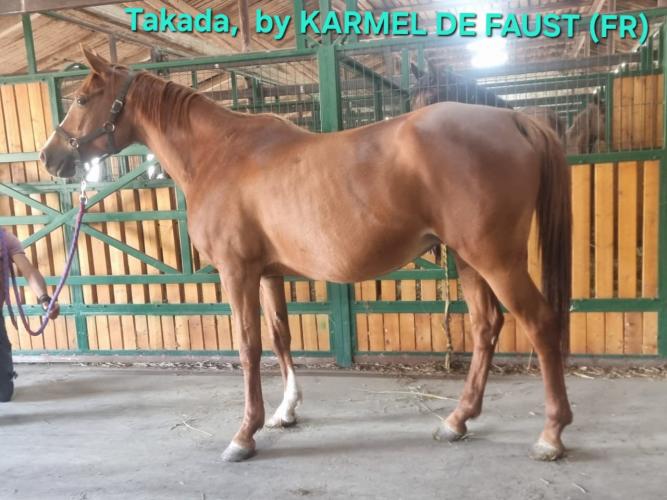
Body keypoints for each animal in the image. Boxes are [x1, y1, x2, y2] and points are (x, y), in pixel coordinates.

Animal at [40, 49, 573, 463]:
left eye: (82, 99)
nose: (49, 157)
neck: (220, 153)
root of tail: (515, 119)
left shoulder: (237, 272)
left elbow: (248, 346)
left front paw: (244, 434)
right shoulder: (268, 273)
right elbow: (280, 337)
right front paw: (285, 411)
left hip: (496, 258)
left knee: (540, 322)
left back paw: (550, 434)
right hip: (467, 258)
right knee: (486, 327)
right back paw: (457, 420)